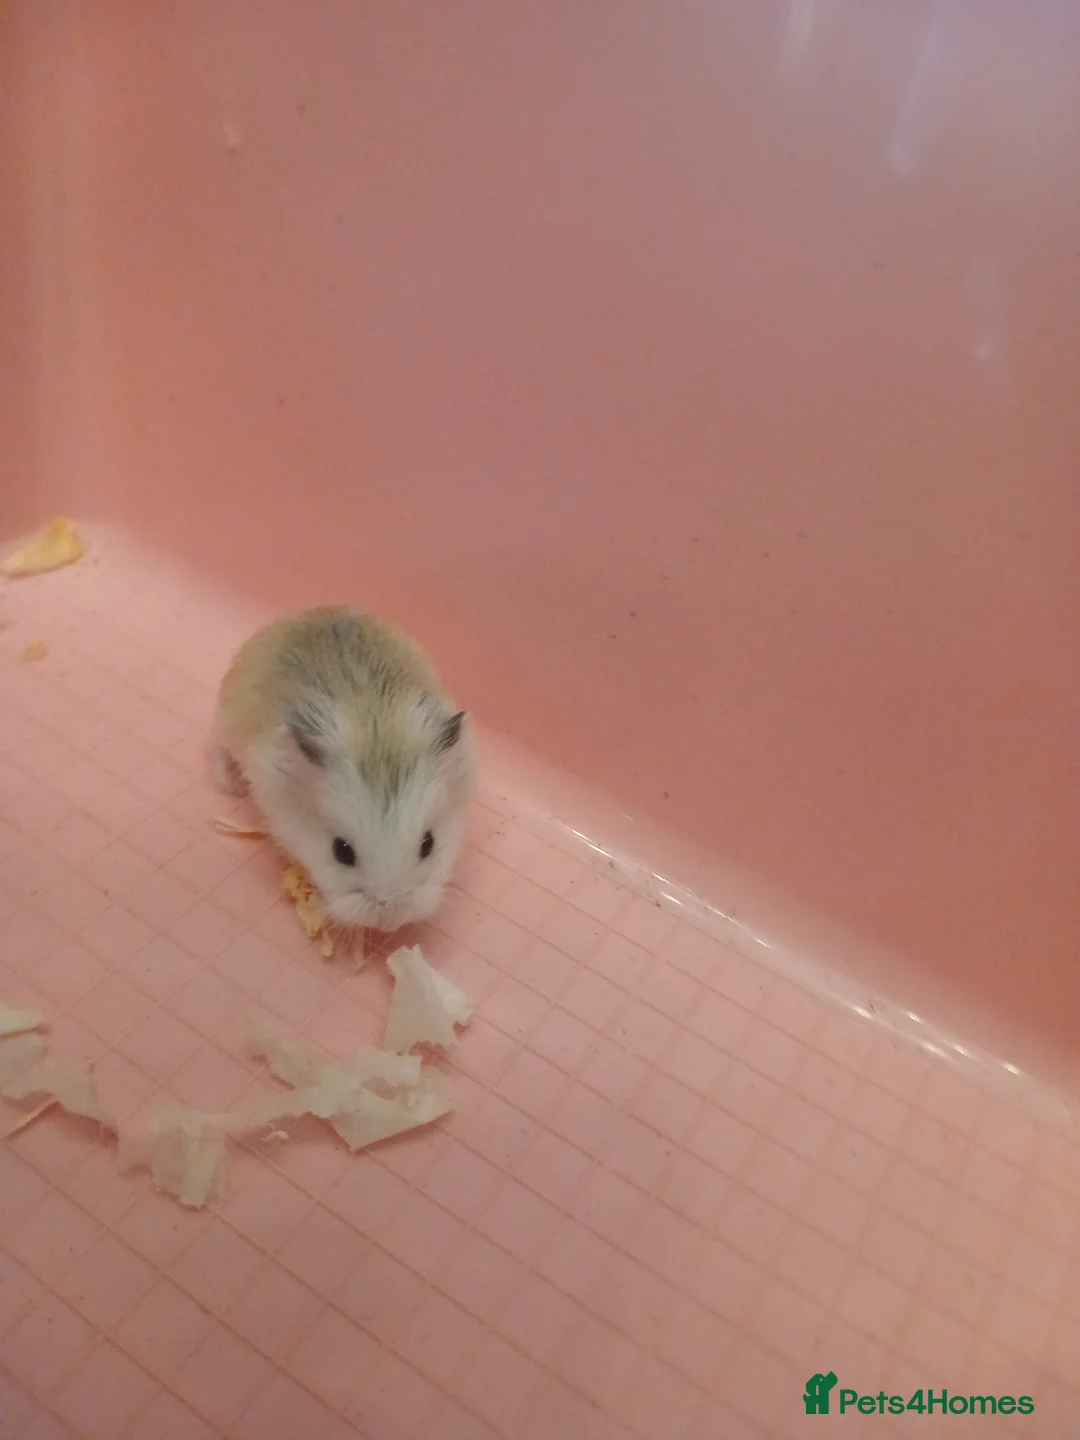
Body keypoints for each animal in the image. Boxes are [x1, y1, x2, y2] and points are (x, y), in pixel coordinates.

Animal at [211, 606, 474, 932]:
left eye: (429, 843)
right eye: (341, 852)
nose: (391, 921)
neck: (376, 732)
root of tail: (310, 612)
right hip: (225, 718)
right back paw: (230, 785)